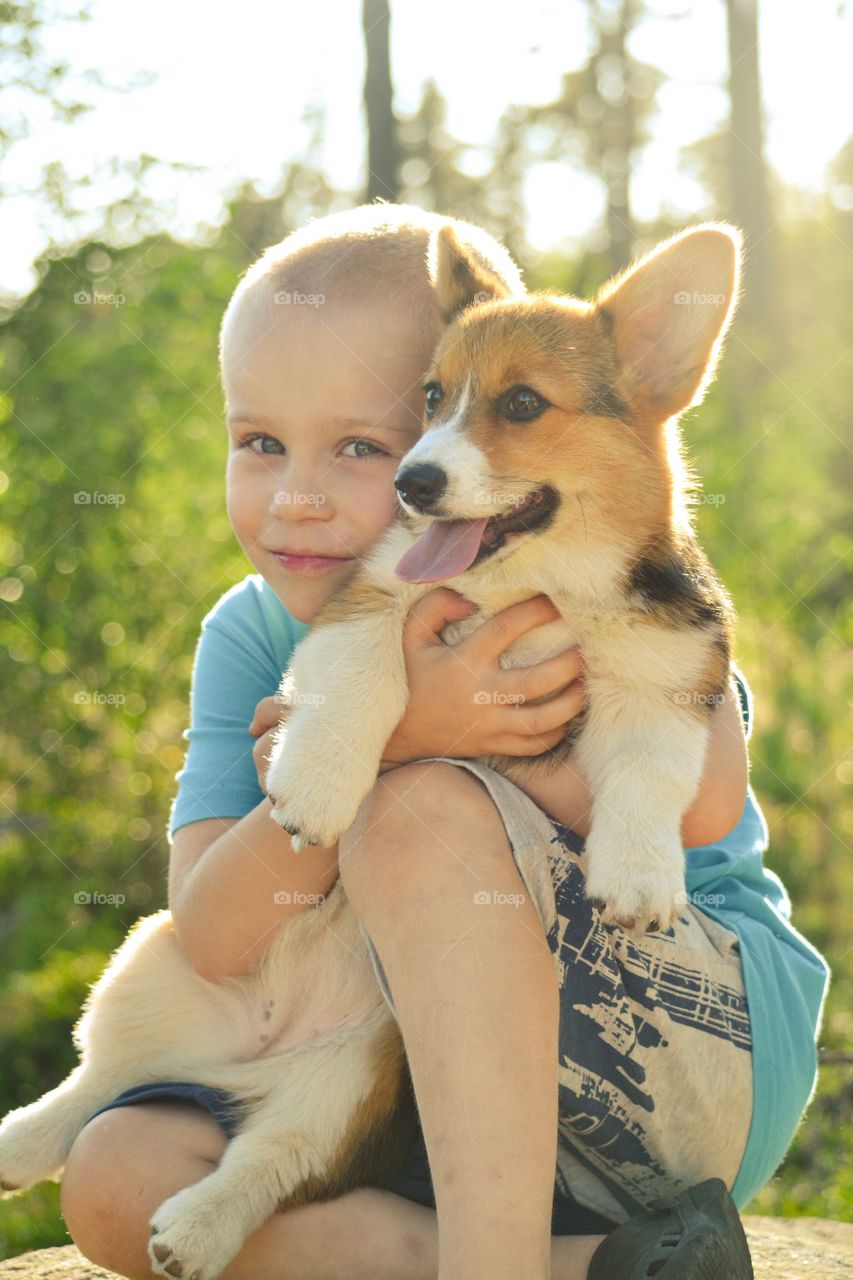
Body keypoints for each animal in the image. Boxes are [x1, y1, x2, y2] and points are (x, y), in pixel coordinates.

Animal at [266, 222, 737, 942]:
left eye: (523, 403)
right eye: (432, 396)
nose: (410, 483)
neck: (537, 576)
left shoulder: (663, 675)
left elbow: (647, 770)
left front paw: (640, 875)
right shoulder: (367, 595)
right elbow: (361, 678)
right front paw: (318, 788)